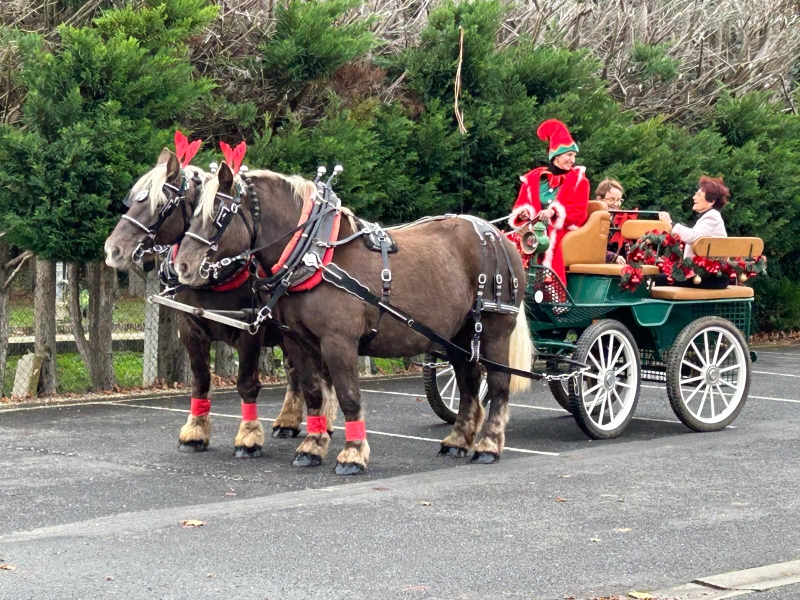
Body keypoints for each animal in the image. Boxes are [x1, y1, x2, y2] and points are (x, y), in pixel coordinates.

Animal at [104, 149, 339, 457]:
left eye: (161, 205)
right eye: (131, 201)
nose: (112, 249)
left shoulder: (250, 330)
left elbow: (247, 384)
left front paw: (248, 437)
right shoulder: (190, 327)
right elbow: (201, 380)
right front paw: (195, 432)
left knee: (321, 372)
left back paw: (326, 421)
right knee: (294, 370)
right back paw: (288, 421)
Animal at [174, 162, 532, 474]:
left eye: (220, 215)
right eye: (191, 213)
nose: (182, 266)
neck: (313, 253)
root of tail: (498, 235)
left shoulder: (338, 341)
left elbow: (348, 396)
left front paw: (353, 453)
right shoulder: (298, 340)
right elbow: (314, 393)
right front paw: (313, 446)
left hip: (493, 330)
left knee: (497, 386)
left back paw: (488, 445)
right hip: (458, 336)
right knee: (469, 385)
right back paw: (458, 441)